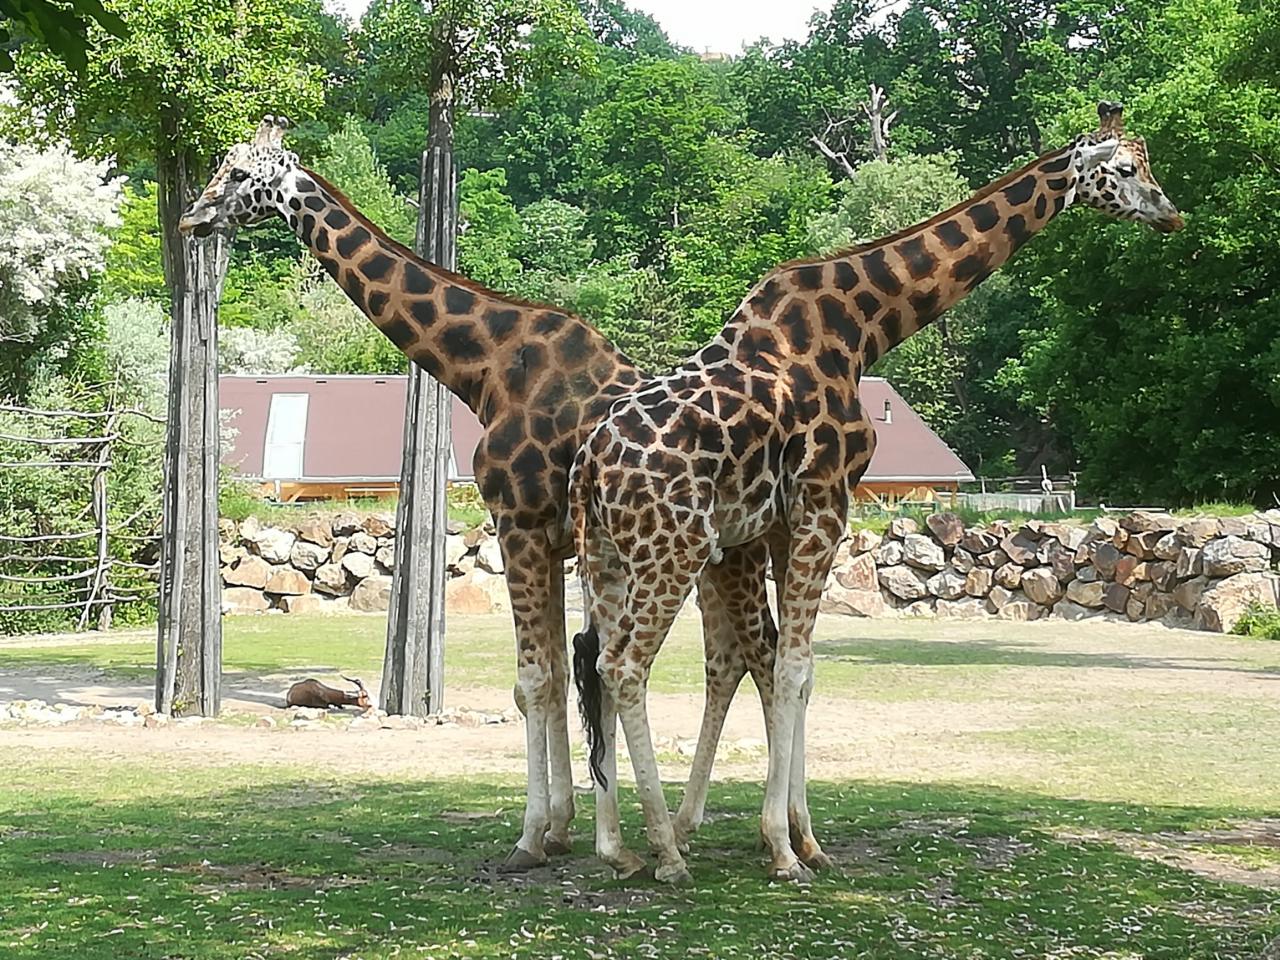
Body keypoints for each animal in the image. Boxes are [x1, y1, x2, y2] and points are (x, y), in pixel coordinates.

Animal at [178, 115, 780, 870]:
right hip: (712, 560)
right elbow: (560, 674)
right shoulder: (549, 539)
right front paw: (564, 828)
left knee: (752, 658)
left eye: (235, 173)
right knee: (737, 661)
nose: (191, 217)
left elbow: (536, 682)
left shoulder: (517, 522)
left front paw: (532, 837)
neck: (486, 367)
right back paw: (710, 829)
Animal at [569, 101, 1183, 884]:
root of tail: (589, 465)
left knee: (599, 661)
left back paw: (616, 845)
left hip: (610, 555)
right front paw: (784, 849)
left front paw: (804, 838)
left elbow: (789, 667)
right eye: (1127, 168)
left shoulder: (780, 523)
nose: (1171, 213)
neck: (862, 328)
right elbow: (794, 666)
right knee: (624, 665)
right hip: (674, 548)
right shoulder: (823, 505)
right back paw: (668, 854)